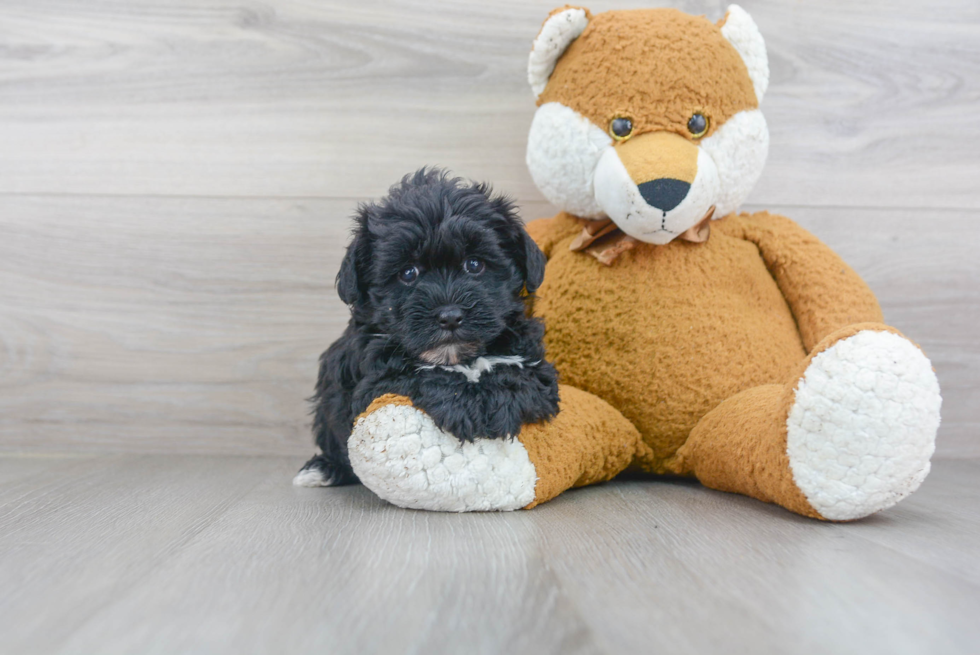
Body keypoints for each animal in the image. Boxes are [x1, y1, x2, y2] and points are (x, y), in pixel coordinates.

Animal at [292, 169, 560, 486]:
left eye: (474, 264)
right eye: (408, 273)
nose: (450, 316)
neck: (457, 357)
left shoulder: (536, 366)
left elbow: (517, 374)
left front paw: (495, 404)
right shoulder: (370, 382)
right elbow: (416, 374)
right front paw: (462, 405)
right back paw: (324, 468)